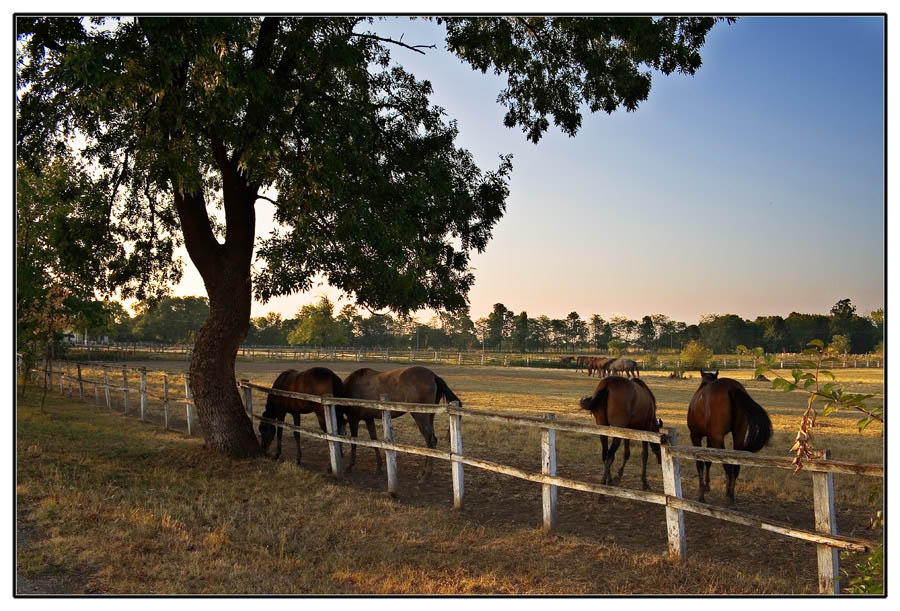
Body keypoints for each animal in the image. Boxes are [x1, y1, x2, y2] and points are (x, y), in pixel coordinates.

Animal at [688, 370, 772, 504]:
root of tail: (731, 387)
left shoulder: (696, 436)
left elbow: (700, 463)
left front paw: (702, 493)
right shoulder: (710, 438)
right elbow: (708, 462)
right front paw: (707, 486)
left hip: (717, 439)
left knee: (727, 464)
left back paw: (728, 494)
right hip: (738, 436)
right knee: (735, 465)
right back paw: (731, 494)